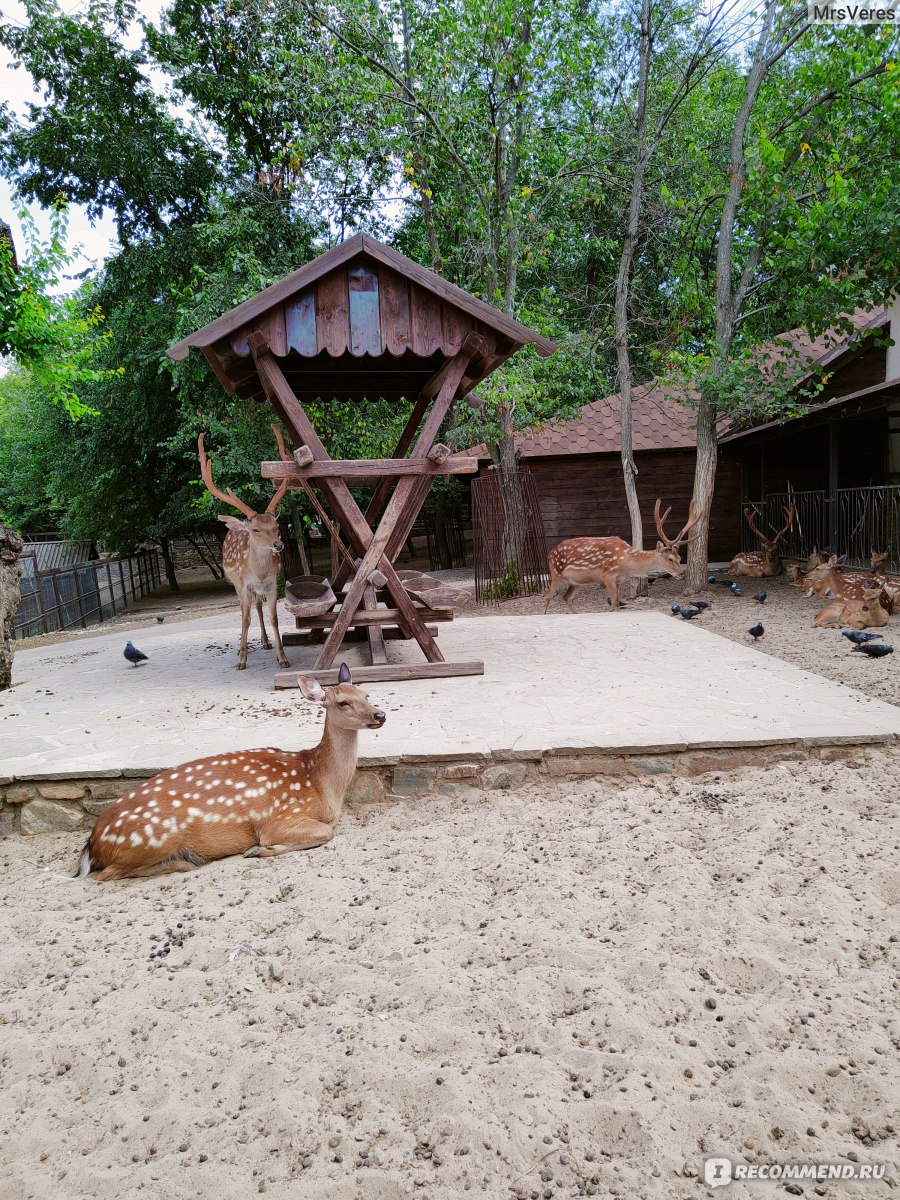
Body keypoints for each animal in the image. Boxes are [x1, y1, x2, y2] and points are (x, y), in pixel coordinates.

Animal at [542, 499, 705, 614]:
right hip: (556, 572)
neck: (627, 562)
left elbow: (617, 603)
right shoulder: (607, 575)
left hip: (575, 581)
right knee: (548, 597)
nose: (681, 573)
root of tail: (550, 553)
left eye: (680, 559)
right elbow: (614, 602)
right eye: (670, 559)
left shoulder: (619, 579)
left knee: (567, 597)